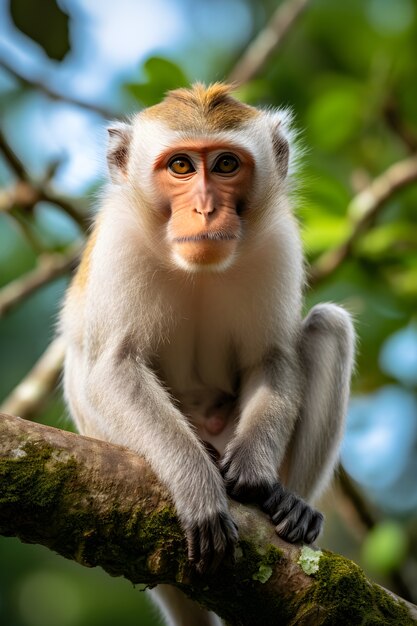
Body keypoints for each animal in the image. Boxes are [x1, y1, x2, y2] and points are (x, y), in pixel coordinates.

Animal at [61, 83, 354, 624]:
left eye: (225, 165)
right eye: (180, 165)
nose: (204, 209)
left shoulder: (279, 241)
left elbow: (273, 359)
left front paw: (254, 467)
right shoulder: (119, 243)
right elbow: (114, 365)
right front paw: (197, 485)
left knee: (330, 326)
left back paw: (292, 504)